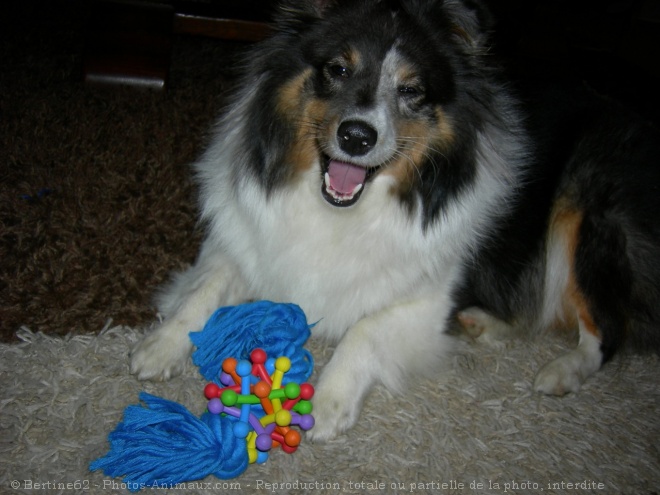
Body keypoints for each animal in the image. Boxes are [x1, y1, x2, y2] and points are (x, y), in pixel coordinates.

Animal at [130, 0, 660, 442]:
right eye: (338, 69)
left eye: (411, 90)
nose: (357, 136)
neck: (339, 211)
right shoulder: (245, 243)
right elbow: (204, 290)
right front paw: (161, 345)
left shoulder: (427, 303)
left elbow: (365, 328)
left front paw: (328, 402)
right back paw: (485, 323)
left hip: (582, 207)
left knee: (606, 329)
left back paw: (561, 371)